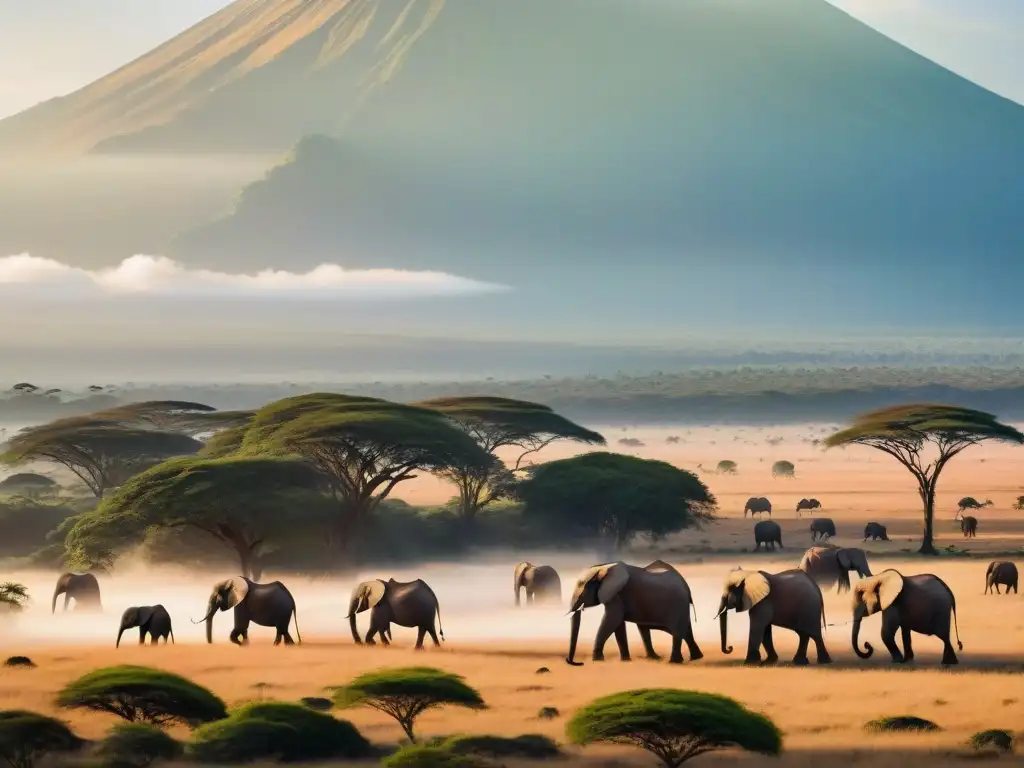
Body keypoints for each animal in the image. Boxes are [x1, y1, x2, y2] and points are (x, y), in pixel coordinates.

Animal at [565, 561, 700, 667]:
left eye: (583, 592)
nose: (579, 663)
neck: (603, 568)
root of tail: (686, 586)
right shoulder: (616, 595)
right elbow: (618, 625)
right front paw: (625, 660)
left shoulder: (616, 594)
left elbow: (612, 620)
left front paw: (597, 660)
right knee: (683, 631)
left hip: (677, 605)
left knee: (677, 632)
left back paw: (674, 662)